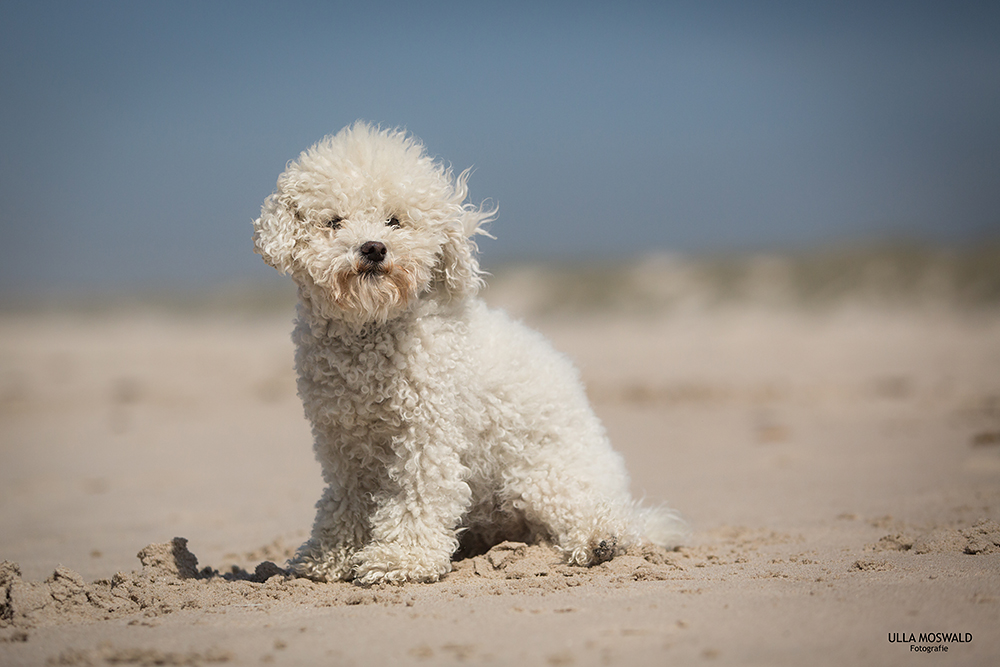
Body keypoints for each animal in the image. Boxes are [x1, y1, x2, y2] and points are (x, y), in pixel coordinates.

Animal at [252, 122, 688, 580]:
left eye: (395, 221)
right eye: (334, 222)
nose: (373, 247)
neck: (370, 333)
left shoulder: (427, 434)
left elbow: (418, 493)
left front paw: (401, 559)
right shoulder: (342, 443)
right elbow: (345, 501)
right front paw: (330, 556)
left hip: (541, 478)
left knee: (601, 515)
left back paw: (602, 539)